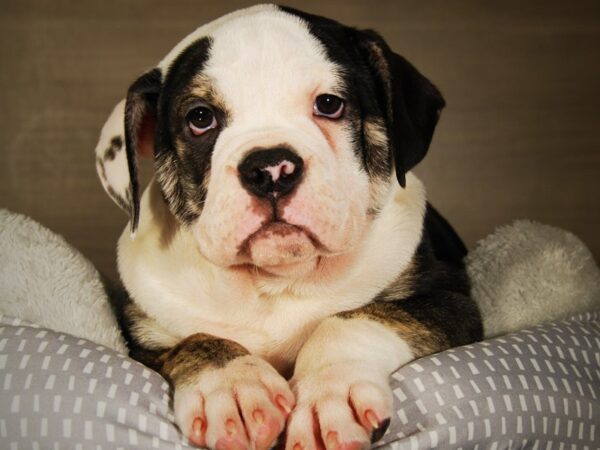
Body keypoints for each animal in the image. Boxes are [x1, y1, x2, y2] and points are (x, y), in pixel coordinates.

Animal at [94, 4, 480, 450]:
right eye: (200, 118)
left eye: (330, 104)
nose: (270, 169)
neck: (276, 280)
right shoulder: (140, 340)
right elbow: (194, 341)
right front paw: (233, 387)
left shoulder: (450, 302)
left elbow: (358, 319)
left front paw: (328, 394)